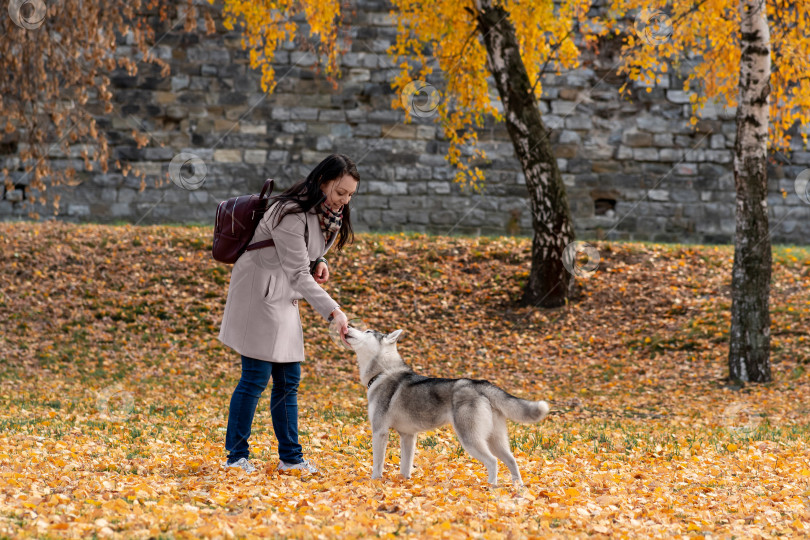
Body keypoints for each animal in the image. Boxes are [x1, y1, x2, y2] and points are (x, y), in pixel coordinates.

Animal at [340, 326, 548, 488]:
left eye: (367, 331)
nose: (347, 326)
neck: (383, 371)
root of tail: (479, 384)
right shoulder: (408, 436)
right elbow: (406, 465)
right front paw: (405, 482)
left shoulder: (380, 431)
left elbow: (377, 463)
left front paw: (375, 481)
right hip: (494, 439)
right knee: (511, 460)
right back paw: (518, 487)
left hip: (470, 439)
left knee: (493, 462)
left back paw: (491, 486)